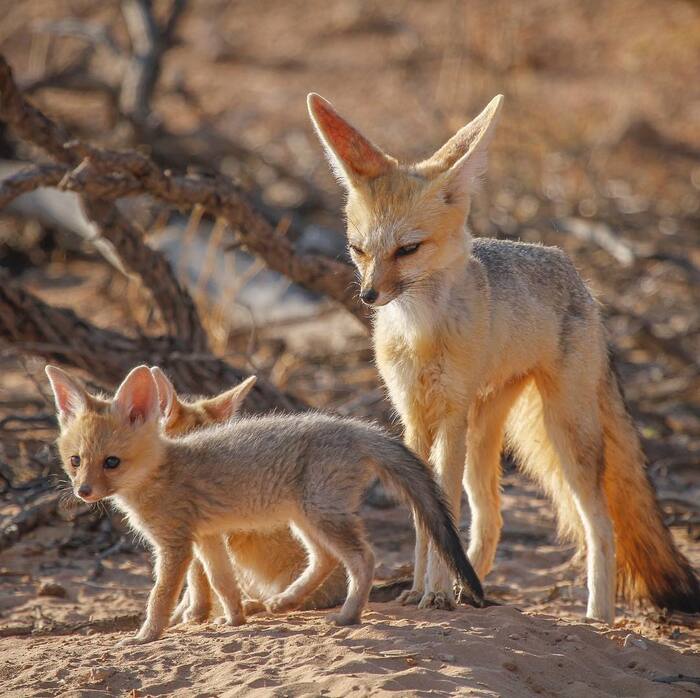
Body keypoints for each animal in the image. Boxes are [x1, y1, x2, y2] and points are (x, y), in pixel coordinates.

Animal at [308, 92, 700, 620]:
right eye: (358, 249)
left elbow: (444, 507)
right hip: (485, 437)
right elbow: (425, 514)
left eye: (408, 249)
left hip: (563, 434)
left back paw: (597, 616)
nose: (370, 296)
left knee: (600, 525)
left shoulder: (450, 414)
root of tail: (576, 273)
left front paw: (434, 593)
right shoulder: (414, 417)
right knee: (491, 520)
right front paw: (422, 590)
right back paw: (470, 590)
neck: (420, 334)